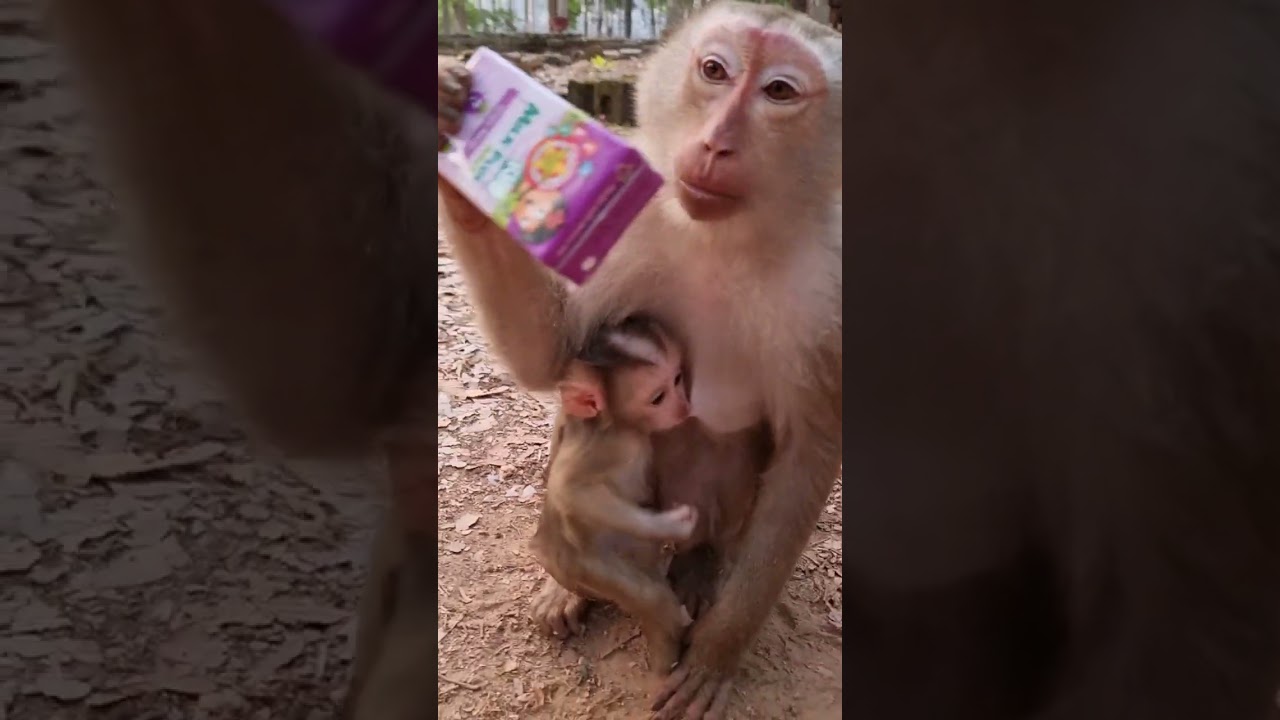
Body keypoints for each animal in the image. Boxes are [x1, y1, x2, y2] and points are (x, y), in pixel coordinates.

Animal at [529, 315, 700, 672]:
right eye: (658, 397)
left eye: (678, 378)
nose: (684, 407)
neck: (625, 426)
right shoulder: (607, 447)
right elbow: (571, 491)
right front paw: (671, 524)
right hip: (592, 568)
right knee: (647, 595)